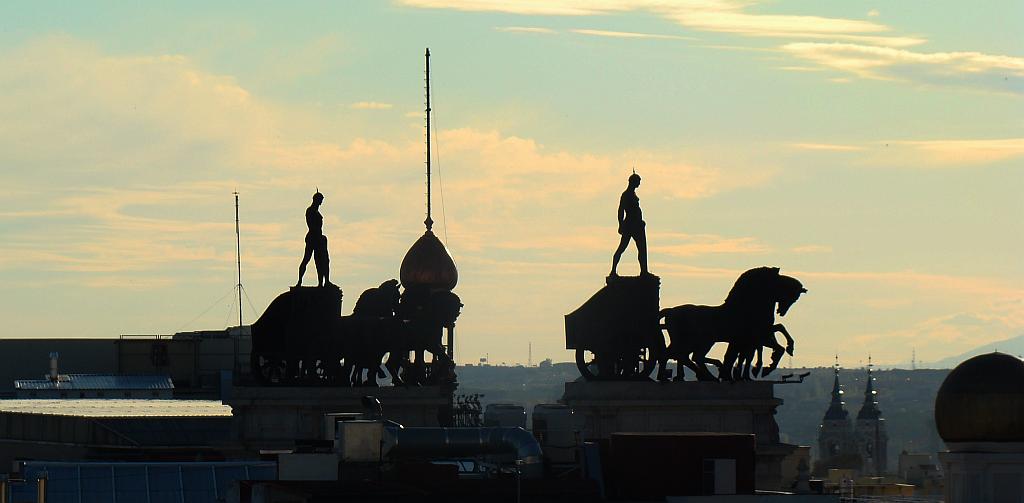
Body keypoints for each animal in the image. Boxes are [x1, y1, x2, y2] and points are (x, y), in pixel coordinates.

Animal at [655, 268, 806, 381]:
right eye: (790, 294)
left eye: (795, 298)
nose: (782, 311)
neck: (747, 307)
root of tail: (671, 311)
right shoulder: (759, 336)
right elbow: (777, 344)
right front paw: (766, 367)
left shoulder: (757, 336)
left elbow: (779, 330)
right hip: (700, 341)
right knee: (685, 356)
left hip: (697, 342)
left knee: (682, 356)